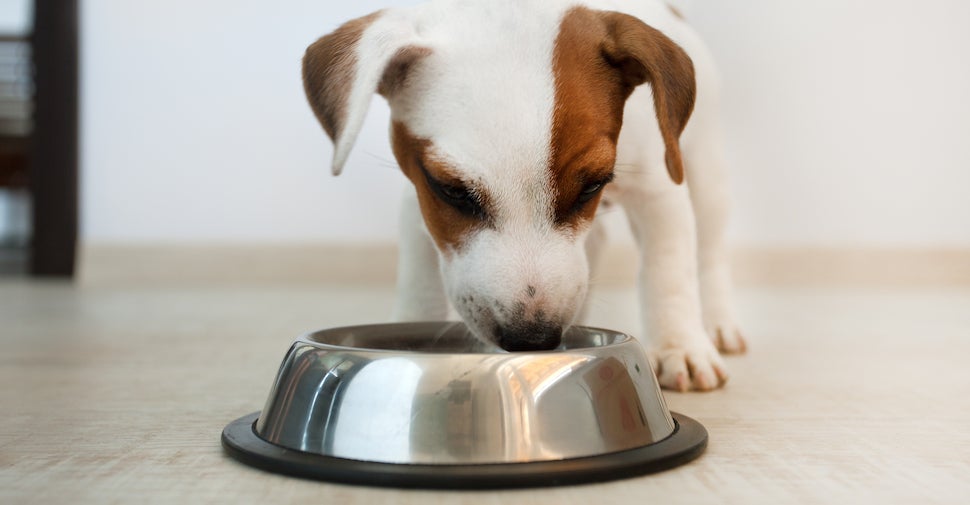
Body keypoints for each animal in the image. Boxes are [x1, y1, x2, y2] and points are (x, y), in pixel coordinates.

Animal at [302, 0, 748, 390]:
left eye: (592, 185)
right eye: (453, 191)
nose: (533, 339)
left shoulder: (657, 189)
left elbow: (667, 272)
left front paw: (680, 347)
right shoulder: (419, 200)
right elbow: (421, 282)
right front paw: (410, 326)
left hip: (705, 173)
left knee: (708, 252)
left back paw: (717, 323)